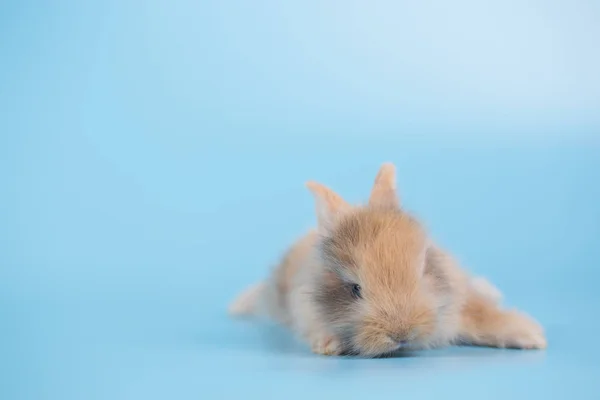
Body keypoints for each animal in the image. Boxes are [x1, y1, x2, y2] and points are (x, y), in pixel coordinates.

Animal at [227, 162, 548, 356]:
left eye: (423, 271)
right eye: (355, 289)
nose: (401, 333)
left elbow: (481, 314)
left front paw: (531, 335)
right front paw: (328, 344)